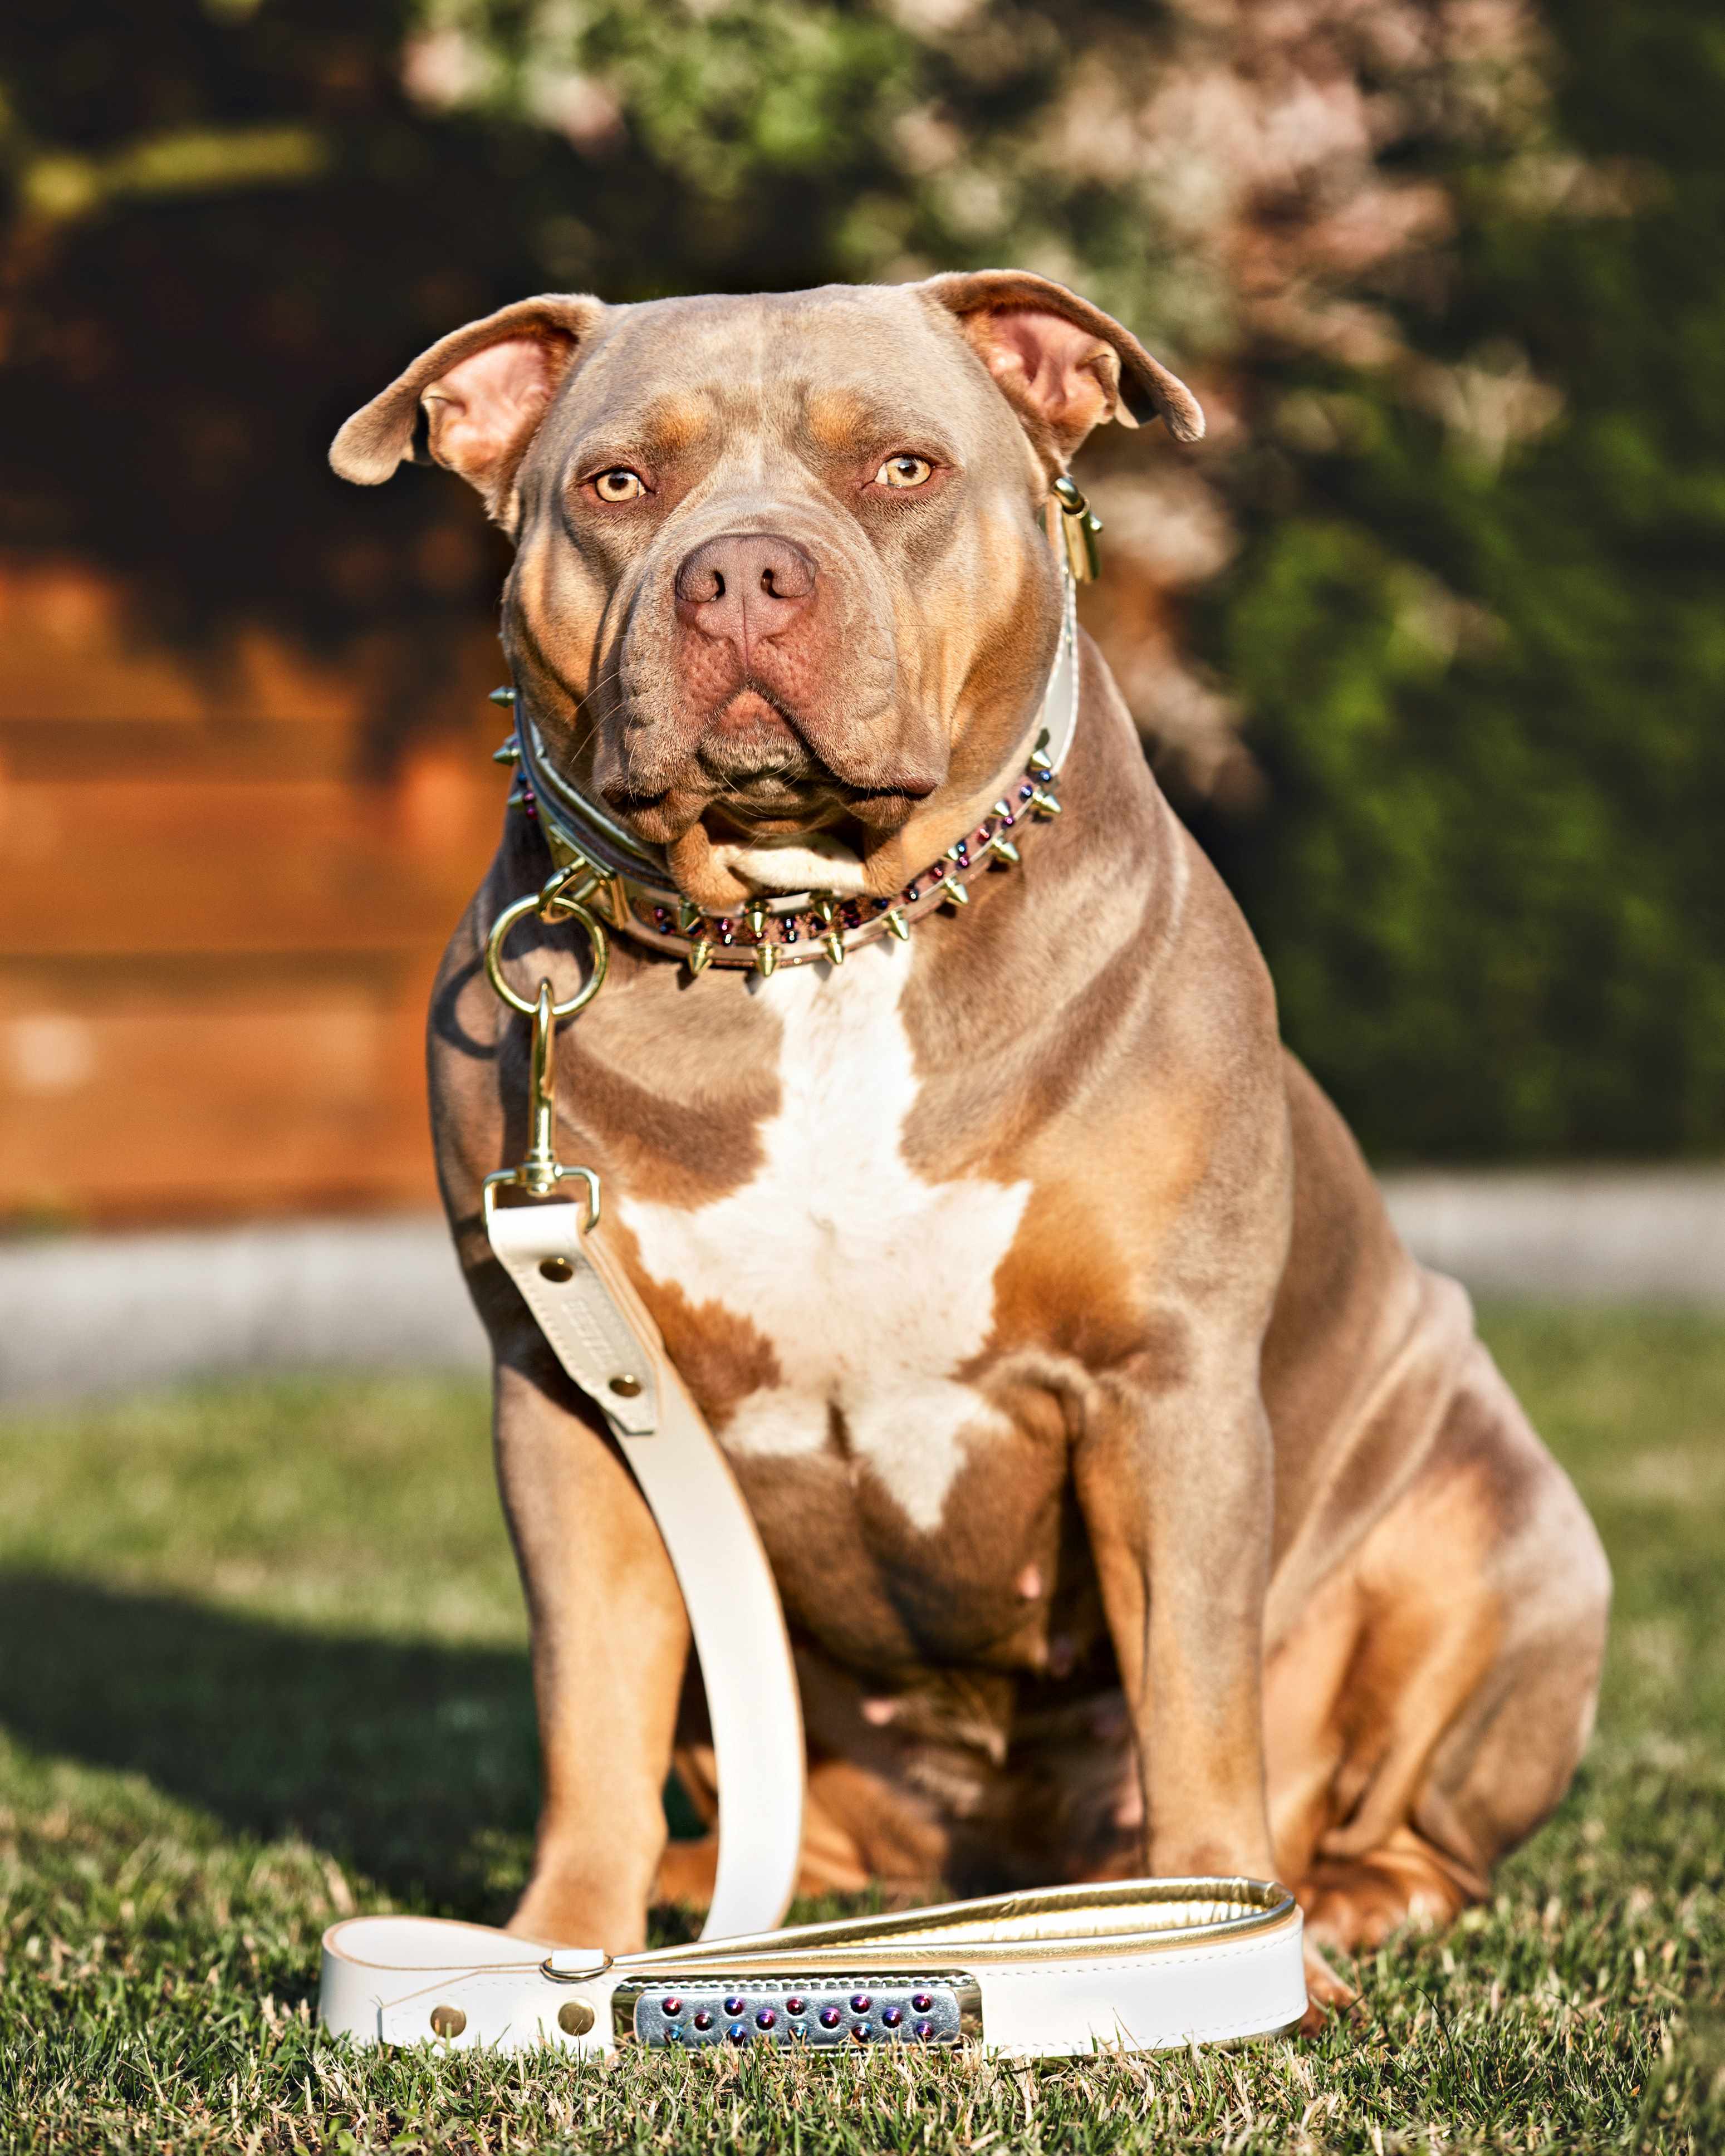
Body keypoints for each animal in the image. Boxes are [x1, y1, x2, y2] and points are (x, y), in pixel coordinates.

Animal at [334, 273, 1604, 2018]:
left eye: (902, 470)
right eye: (618, 484)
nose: (740, 571)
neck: (811, 935)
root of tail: (1008, 1867)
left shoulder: (1162, 1387)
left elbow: (1197, 1701)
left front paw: (1255, 1960)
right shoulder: (572, 1399)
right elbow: (588, 1712)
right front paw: (549, 1949)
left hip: (1500, 1538)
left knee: (1410, 1809)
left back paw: (1334, 1906)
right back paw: (705, 1901)